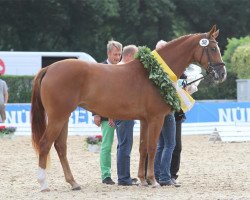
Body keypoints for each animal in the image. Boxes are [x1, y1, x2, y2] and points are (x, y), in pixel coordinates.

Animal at [30, 25, 227, 191]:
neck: (153, 74)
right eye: (212, 48)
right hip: (57, 117)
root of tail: (49, 68)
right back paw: (43, 184)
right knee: (45, 144)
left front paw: (143, 180)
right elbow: (153, 147)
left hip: (64, 117)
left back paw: (73, 183)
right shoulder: (156, 119)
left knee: (60, 147)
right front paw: (153, 180)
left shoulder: (145, 120)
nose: (222, 74)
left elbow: (143, 148)